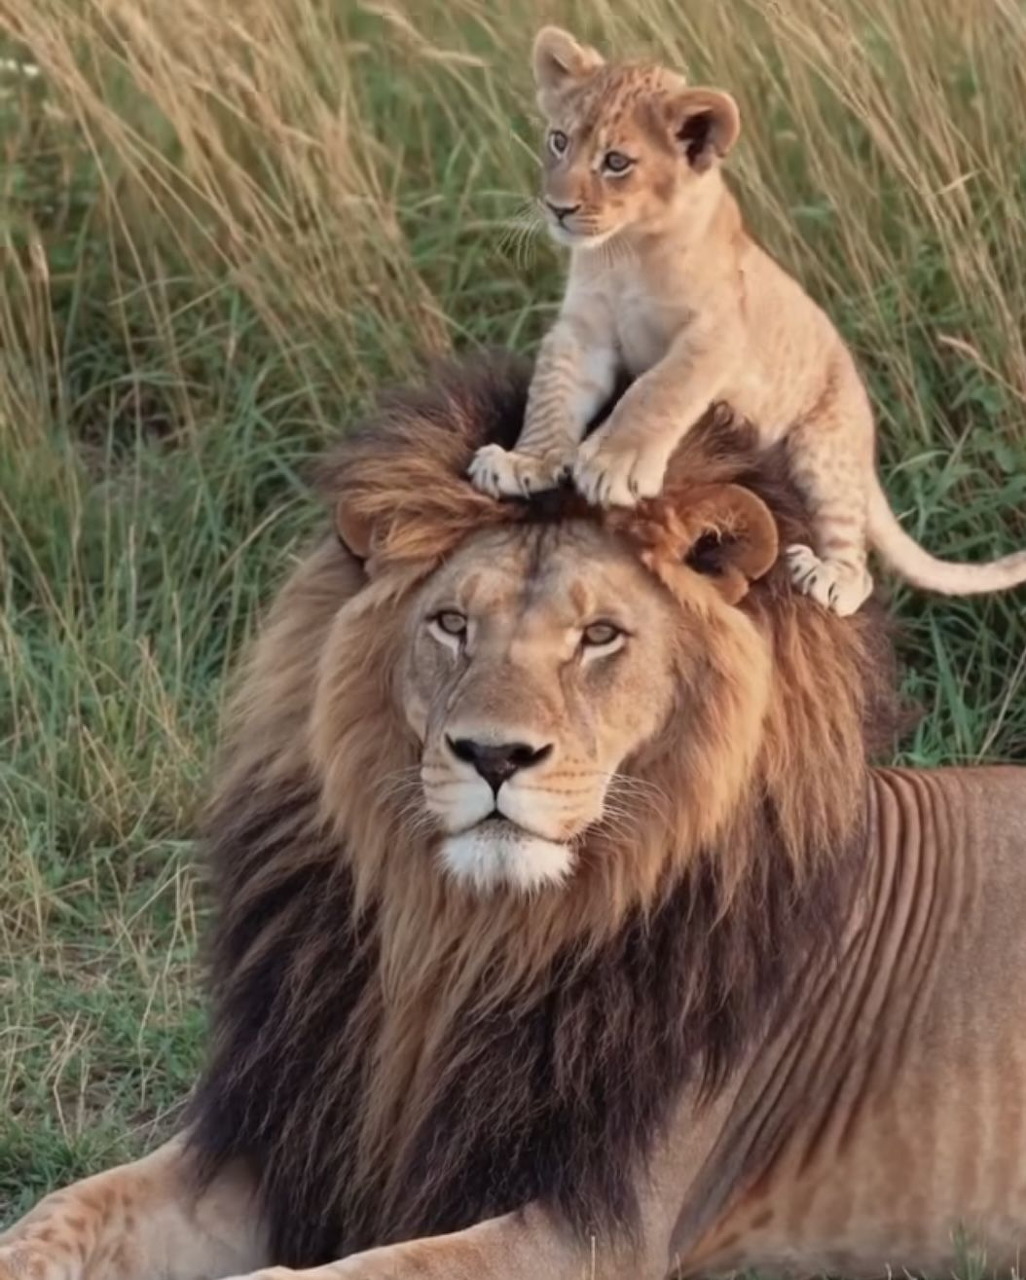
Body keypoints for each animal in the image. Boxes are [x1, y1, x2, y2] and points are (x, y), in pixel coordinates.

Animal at [2, 355, 1026, 1280]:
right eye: (452, 624)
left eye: (600, 636)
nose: (494, 757)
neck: (466, 939)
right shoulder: (285, 1135)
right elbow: (63, 1209)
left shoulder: (600, 1225)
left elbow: (344, 1276)